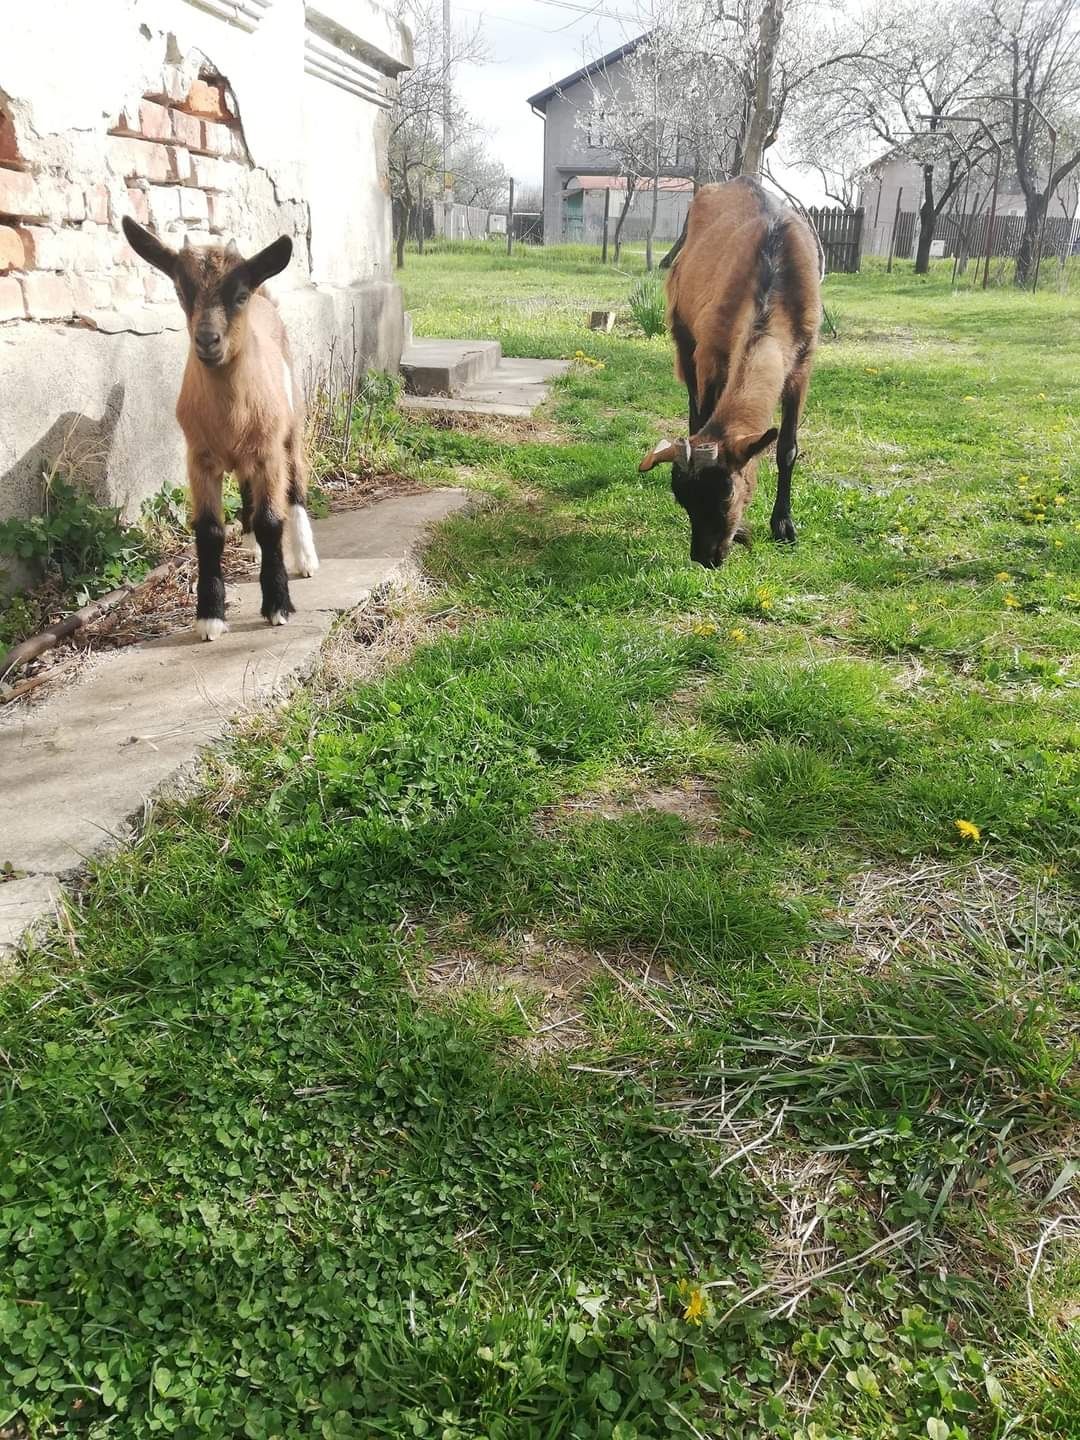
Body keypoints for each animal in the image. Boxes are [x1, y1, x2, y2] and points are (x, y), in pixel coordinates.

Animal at [122, 216, 319, 639]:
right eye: (181, 290)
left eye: (239, 294)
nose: (207, 341)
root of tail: (267, 299)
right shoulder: (200, 459)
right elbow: (209, 531)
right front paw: (210, 616)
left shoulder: (268, 454)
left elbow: (271, 521)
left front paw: (278, 605)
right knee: (246, 491)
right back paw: (251, 545)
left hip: (291, 427)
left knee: (295, 487)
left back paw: (306, 558)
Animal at [642, 174, 817, 567]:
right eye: (682, 499)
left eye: (725, 494)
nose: (705, 557)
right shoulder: (711, 354)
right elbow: (704, 413)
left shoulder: (802, 362)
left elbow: (787, 448)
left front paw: (783, 525)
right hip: (683, 335)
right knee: (694, 406)